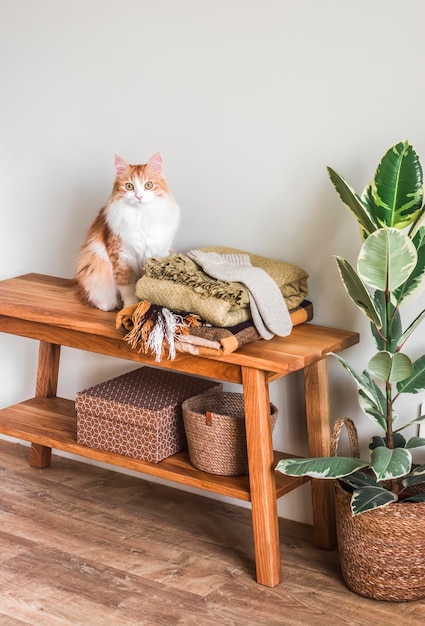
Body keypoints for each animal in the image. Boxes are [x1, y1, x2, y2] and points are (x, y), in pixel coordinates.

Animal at [76, 151, 179, 308]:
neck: (141, 217)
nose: (139, 196)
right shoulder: (122, 257)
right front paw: (131, 307)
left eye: (148, 185)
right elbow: (128, 288)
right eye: (129, 186)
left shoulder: (157, 253)